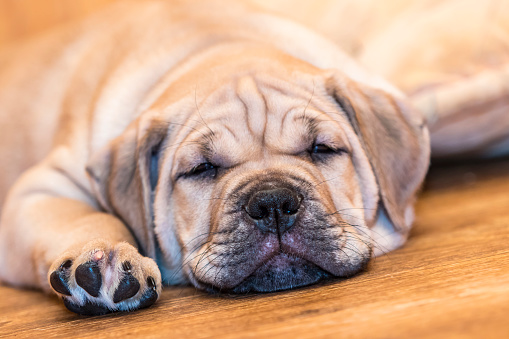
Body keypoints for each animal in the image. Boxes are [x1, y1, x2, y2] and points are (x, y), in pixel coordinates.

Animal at [0, 0, 428, 316]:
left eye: (321, 149)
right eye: (201, 169)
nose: (273, 203)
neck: (213, 45)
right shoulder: (44, 187)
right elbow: (89, 216)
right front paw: (100, 257)